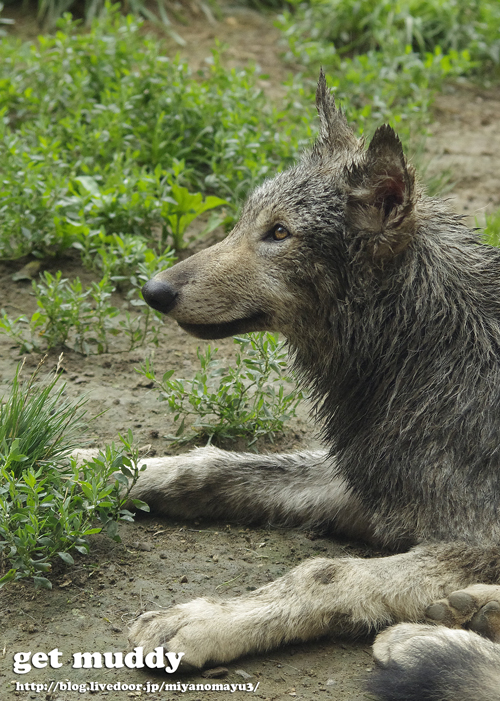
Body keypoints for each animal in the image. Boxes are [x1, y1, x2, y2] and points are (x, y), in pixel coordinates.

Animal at [126, 72, 500, 700]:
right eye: (243, 222)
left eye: (279, 234)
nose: (154, 290)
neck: (432, 348)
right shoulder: (372, 484)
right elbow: (213, 465)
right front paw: (97, 467)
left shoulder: (478, 538)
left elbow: (323, 571)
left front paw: (205, 618)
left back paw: (435, 639)